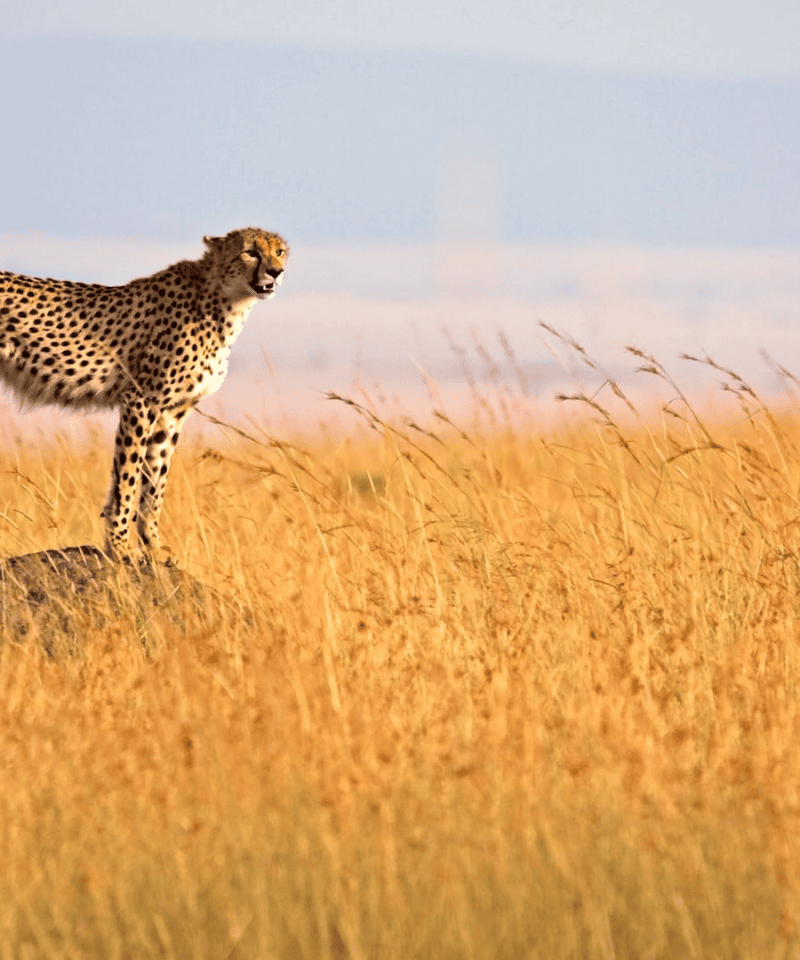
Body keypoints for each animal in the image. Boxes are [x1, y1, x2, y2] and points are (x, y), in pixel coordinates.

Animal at [0, 227, 288, 561]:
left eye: (279, 251)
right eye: (250, 252)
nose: (276, 272)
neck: (226, 299)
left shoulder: (173, 411)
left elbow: (155, 478)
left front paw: (152, 544)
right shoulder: (141, 400)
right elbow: (128, 473)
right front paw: (120, 546)